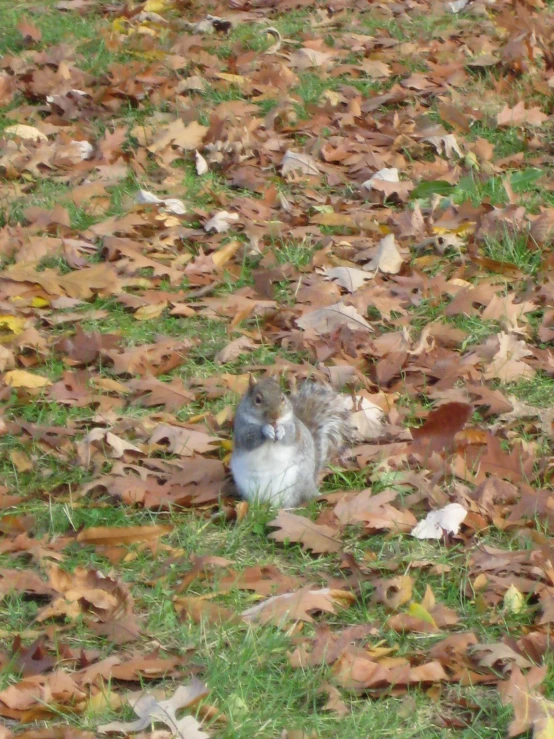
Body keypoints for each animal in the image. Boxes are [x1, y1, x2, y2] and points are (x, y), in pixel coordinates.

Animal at [230, 376, 354, 508]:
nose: (275, 415)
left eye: (282, 398)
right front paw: (265, 429)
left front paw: (281, 430)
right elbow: (249, 439)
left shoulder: (294, 427)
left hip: (293, 486)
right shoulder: (241, 428)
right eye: (257, 400)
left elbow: (290, 436)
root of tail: (310, 486)